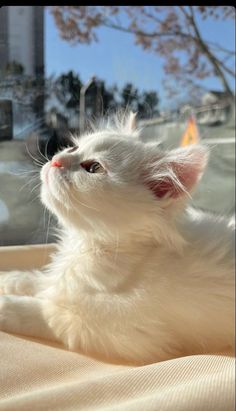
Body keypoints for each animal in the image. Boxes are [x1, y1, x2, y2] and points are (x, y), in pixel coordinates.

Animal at [0, 113, 234, 366]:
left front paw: (7, 304)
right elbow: (44, 281)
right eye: (73, 148)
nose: (56, 160)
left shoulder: (123, 332)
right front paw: (11, 279)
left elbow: (50, 311)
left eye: (93, 167)